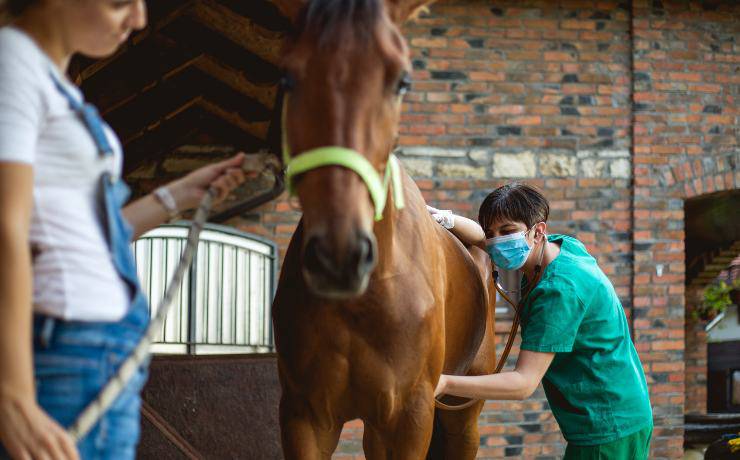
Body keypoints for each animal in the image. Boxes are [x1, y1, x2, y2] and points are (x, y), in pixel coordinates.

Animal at [270, 1, 498, 458]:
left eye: (402, 81)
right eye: (287, 75)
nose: (339, 258)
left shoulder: (410, 417)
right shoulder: (306, 416)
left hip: (462, 415)